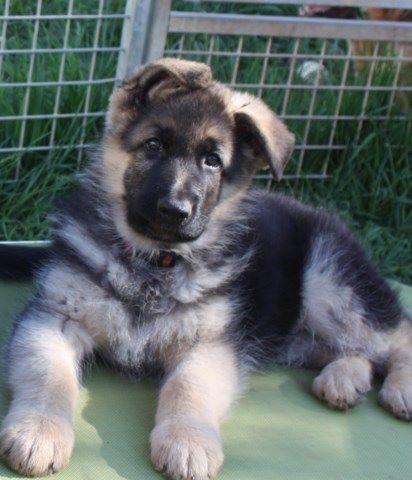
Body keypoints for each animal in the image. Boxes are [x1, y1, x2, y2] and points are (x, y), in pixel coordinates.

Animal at [0, 60, 412, 480]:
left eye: (212, 161)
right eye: (153, 145)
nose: (174, 210)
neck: (155, 262)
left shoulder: (209, 343)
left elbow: (188, 387)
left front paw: (188, 441)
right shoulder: (54, 317)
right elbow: (49, 374)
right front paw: (39, 431)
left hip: (331, 285)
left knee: (395, 336)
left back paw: (398, 388)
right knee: (356, 349)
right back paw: (344, 380)